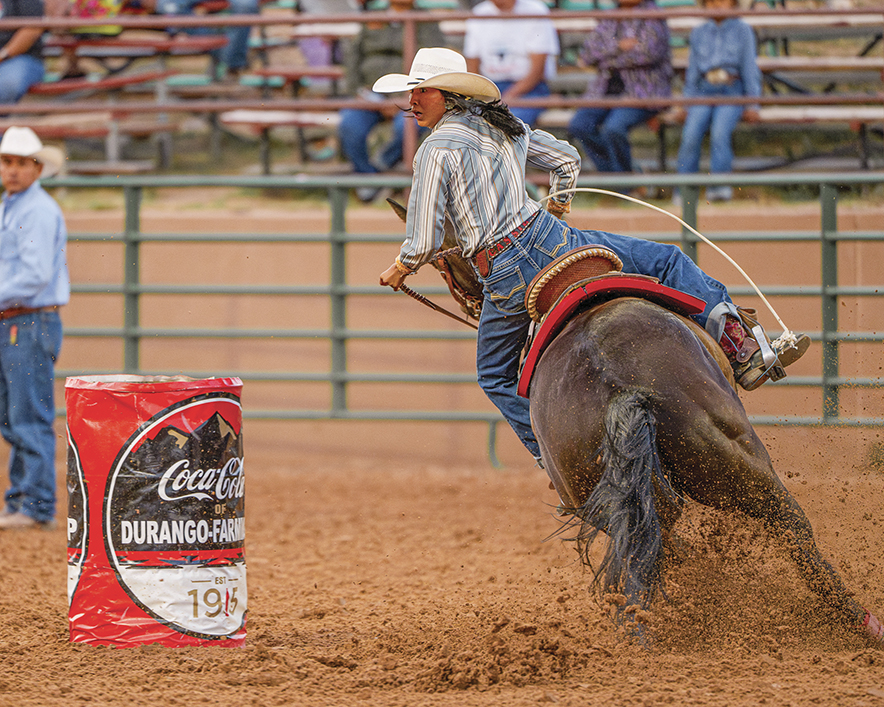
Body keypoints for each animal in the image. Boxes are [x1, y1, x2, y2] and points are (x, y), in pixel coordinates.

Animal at [388, 199, 884, 648]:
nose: (473, 304)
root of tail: (619, 388)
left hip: (642, 490)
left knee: (654, 555)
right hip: (740, 465)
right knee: (789, 533)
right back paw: (854, 622)